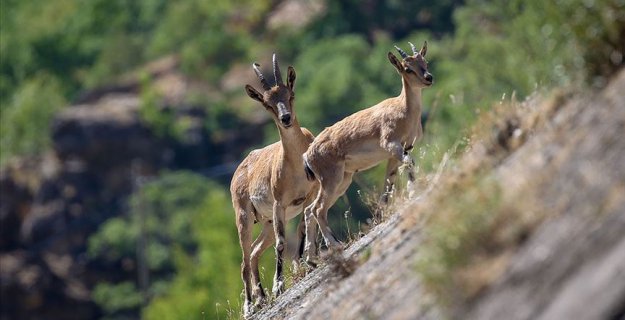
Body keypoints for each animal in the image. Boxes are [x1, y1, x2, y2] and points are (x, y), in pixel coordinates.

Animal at [229, 54, 316, 316]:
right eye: (267, 104)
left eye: (290, 95)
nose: (286, 118)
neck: (296, 167)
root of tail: (237, 172)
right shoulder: (280, 204)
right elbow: (281, 243)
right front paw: (279, 286)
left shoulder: (307, 197)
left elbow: (302, 227)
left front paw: (303, 266)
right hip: (244, 217)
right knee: (244, 259)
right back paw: (249, 306)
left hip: (266, 222)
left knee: (255, 253)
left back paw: (261, 297)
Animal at [304, 41, 432, 255]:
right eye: (407, 68)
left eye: (425, 61)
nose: (428, 78)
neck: (404, 111)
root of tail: (307, 155)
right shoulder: (392, 144)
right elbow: (409, 163)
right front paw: (414, 192)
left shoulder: (400, 151)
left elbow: (390, 180)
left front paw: (384, 212)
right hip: (331, 178)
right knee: (317, 209)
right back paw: (335, 245)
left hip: (343, 179)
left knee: (309, 210)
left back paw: (312, 256)